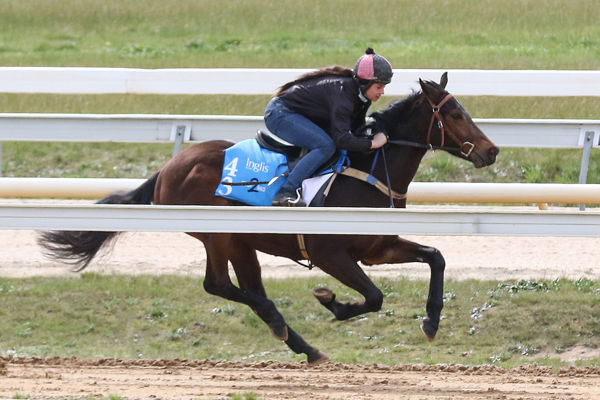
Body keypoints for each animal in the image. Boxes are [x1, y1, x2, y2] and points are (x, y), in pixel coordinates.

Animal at [38, 72, 499, 364]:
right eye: (455, 114)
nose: (491, 151)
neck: (370, 170)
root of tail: (169, 168)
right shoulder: (332, 254)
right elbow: (373, 297)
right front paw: (331, 302)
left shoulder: (377, 247)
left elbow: (435, 256)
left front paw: (431, 321)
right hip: (219, 236)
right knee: (225, 287)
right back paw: (285, 327)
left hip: (240, 241)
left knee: (238, 287)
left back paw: (305, 347)